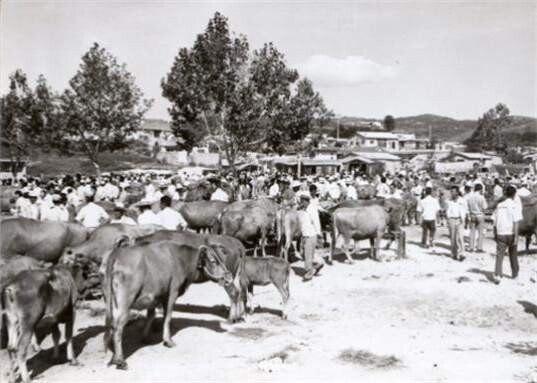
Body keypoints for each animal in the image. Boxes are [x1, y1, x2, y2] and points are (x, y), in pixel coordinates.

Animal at [102, 242, 232, 370]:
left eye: (223, 259)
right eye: (213, 261)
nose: (229, 278)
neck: (182, 259)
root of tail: (117, 253)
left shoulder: (155, 296)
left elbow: (151, 316)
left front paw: (145, 338)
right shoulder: (172, 292)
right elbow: (167, 317)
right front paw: (168, 341)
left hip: (111, 301)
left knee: (111, 324)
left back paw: (113, 358)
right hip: (125, 302)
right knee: (118, 327)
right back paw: (120, 361)